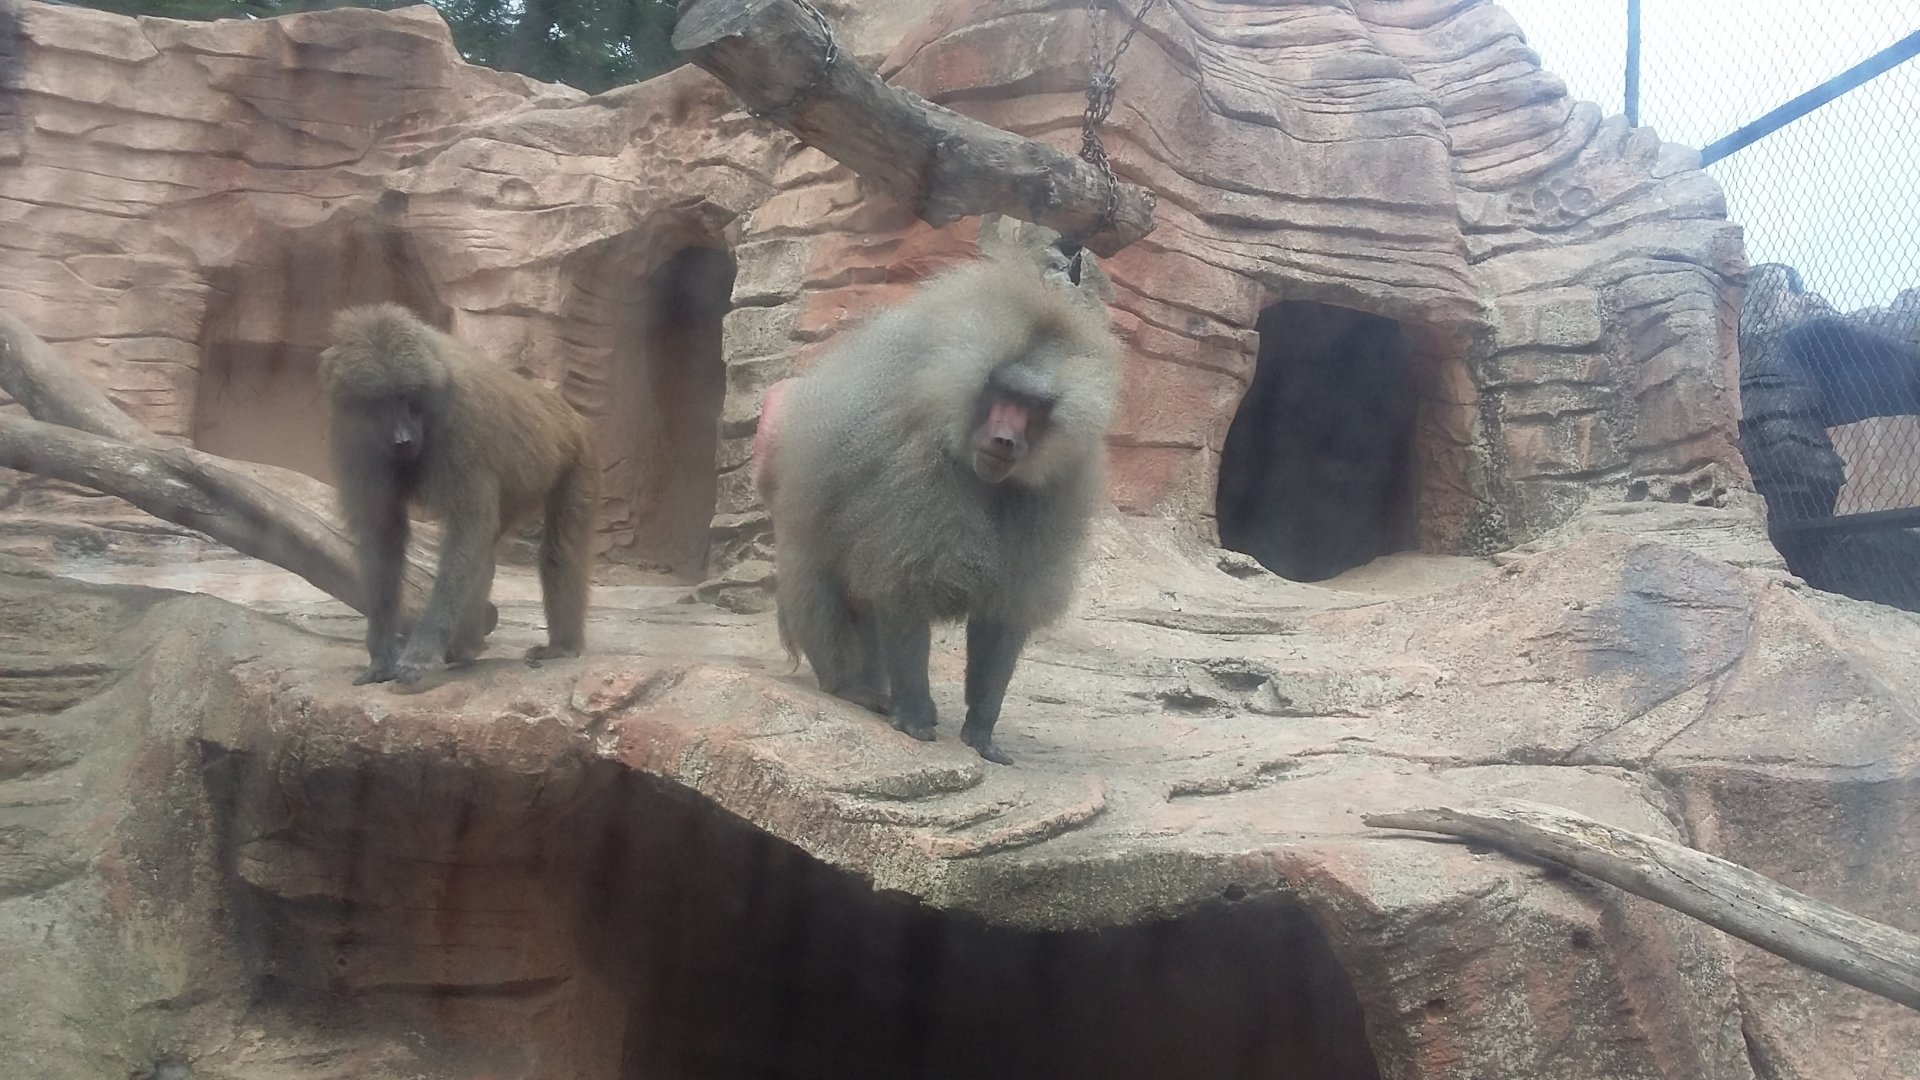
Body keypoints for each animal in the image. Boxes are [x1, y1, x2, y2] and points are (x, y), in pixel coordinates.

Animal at [319, 303, 599, 687]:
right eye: (380, 403)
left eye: (409, 398)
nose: (404, 440)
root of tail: (564, 411)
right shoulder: (352, 437)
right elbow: (383, 539)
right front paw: (381, 655)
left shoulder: (463, 425)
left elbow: (466, 534)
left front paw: (420, 655)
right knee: (486, 554)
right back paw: (467, 646)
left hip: (577, 456)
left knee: (558, 550)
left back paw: (561, 647)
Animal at [759, 239, 1121, 764]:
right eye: (1002, 392)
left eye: (1033, 407)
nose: (1006, 441)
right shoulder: (916, 467)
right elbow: (905, 587)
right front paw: (913, 714)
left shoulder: (1052, 491)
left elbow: (1003, 613)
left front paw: (981, 730)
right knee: (821, 585)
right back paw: (852, 688)